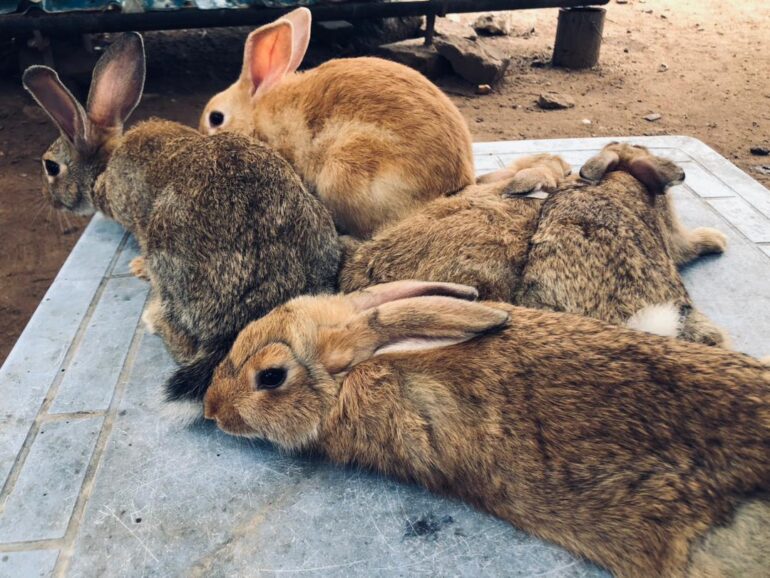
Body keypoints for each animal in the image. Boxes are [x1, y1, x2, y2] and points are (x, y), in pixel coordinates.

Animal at [23, 32, 341, 418]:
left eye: (51, 167)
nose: (50, 199)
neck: (104, 167)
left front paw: (137, 266)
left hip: (169, 255)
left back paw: (153, 318)